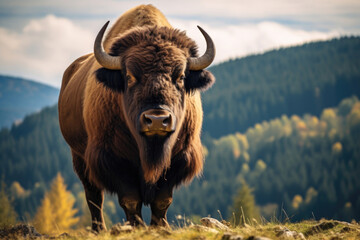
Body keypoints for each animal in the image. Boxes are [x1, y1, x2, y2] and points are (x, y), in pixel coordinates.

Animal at [58, 4, 215, 231]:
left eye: (181, 76)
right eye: (130, 76)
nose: (157, 120)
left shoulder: (178, 158)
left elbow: (162, 200)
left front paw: (161, 228)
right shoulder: (114, 159)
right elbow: (131, 199)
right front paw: (136, 227)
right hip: (79, 157)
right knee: (93, 196)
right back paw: (99, 229)